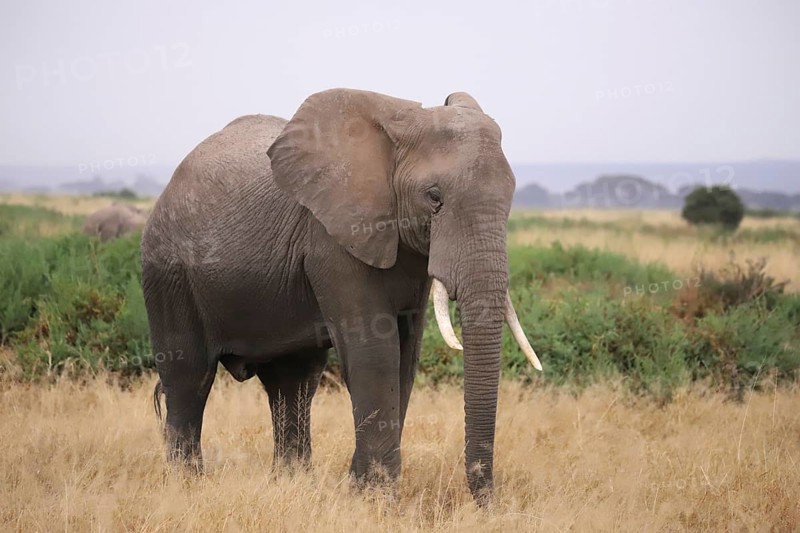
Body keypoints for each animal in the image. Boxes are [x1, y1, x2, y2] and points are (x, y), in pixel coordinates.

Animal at [141, 89, 542, 504]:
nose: (488, 503)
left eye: (512, 195)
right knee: (188, 376)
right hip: (168, 272)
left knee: (293, 379)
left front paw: (364, 490)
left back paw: (292, 483)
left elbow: (405, 356)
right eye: (434, 197)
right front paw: (374, 497)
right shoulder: (332, 240)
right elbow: (375, 354)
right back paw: (187, 485)